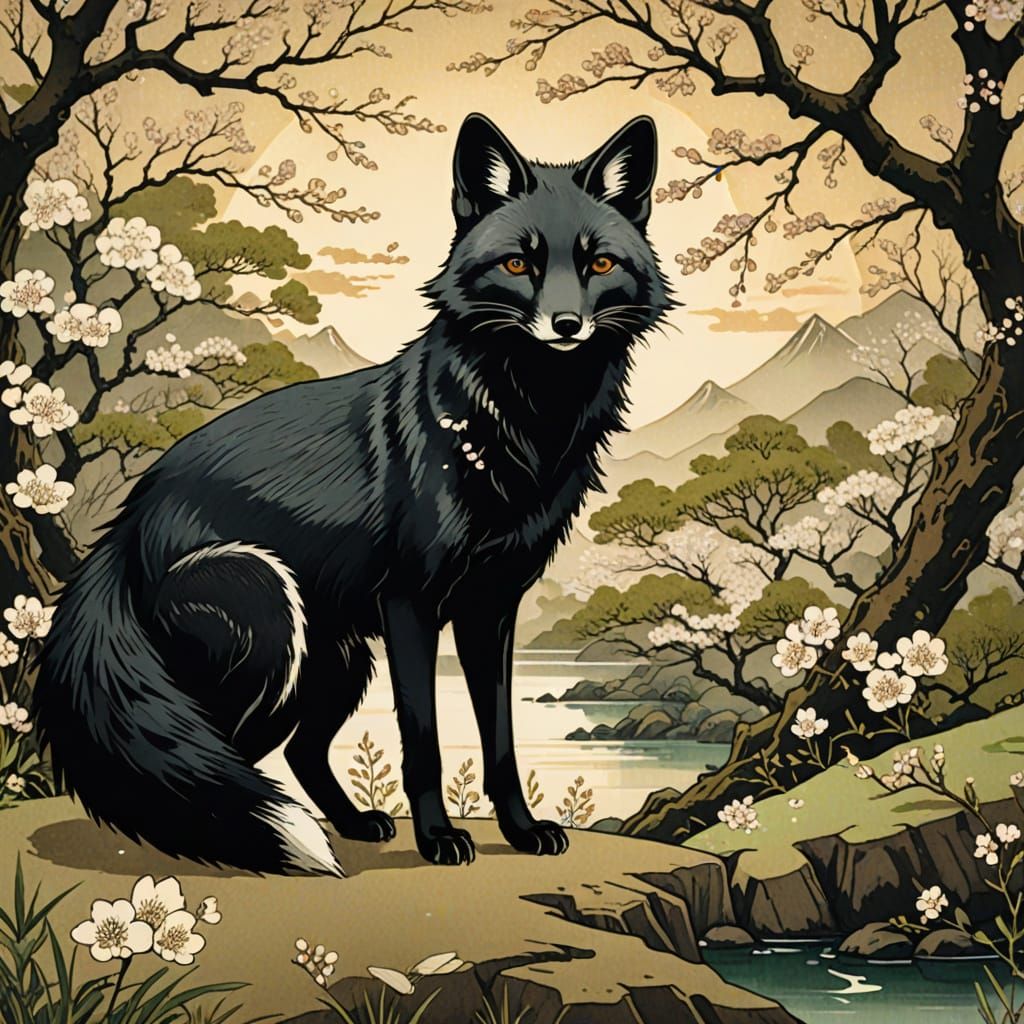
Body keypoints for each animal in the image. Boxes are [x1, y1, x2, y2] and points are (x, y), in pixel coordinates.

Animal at [33, 112, 672, 876]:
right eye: (519, 265)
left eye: (599, 264)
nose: (567, 325)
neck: (522, 428)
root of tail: (125, 525)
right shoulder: (411, 605)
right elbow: (424, 742)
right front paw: (439, 839)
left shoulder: (492, 608)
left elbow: (502, 743)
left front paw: (521, 831)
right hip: (268, 610)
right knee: (207, 760)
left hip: (336, 660)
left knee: (293, 753)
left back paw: (347, 824)